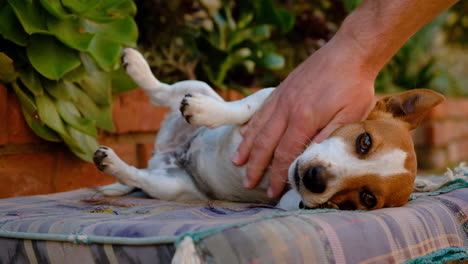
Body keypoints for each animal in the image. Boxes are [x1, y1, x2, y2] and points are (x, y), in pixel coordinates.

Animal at [92, 48, 446, 210]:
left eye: (367, 198)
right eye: (364, 141)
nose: (314, 178)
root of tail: (167, 152)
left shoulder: (288, 202)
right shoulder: (272, 98)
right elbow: (242, 109)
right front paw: (208, 112)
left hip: (172, 186)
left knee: (139, 177)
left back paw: (112, 164)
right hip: (197, 85)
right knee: (161, 92)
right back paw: (139, 67)